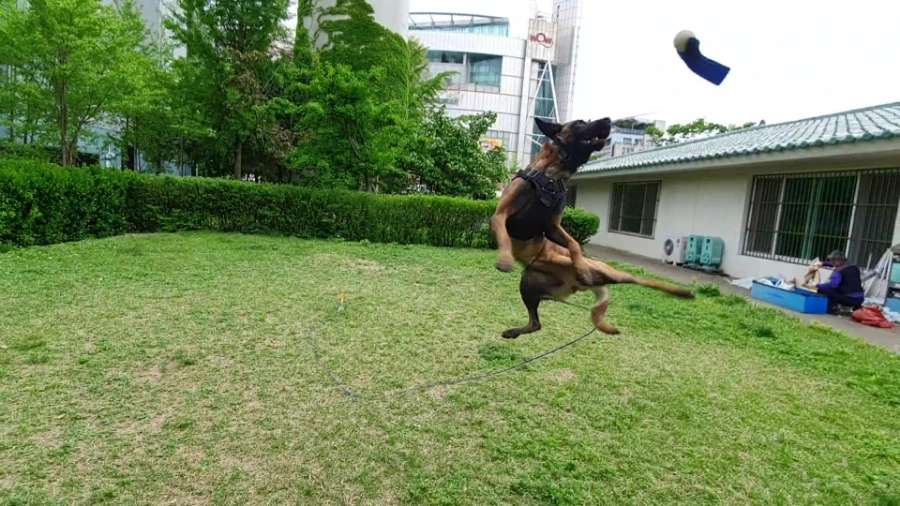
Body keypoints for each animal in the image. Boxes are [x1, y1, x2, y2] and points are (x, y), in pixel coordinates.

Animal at [491, 117, 695, 338]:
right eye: (579, 123)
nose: (608, 120)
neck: (553, 177)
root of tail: (576, 284)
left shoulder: (553, 227)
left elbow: (574, 244)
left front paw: (581, 266)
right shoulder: (501, 215)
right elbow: (504, 235)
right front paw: (504, 260)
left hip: (605, 272)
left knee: (637, 278)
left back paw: (681, 291)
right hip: (528, 282)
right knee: (536, 324)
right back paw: (513, 332)